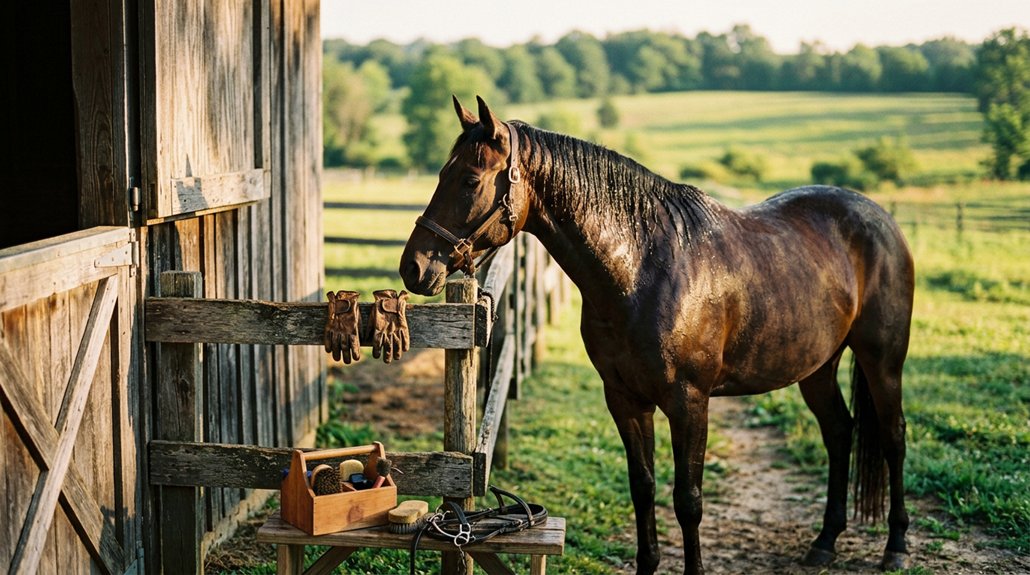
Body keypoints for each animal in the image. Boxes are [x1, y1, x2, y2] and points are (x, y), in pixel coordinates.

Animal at [399, 96, 914, 575]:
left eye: (470, 180)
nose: (414, 268)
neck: (643, 269)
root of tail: (883, 220)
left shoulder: (690, 402)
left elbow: (688, 499)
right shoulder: (625, 399)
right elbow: (643, 487)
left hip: (883, 363)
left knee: (893, 436)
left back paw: (896, 546)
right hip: (818, 368)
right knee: (840, 433)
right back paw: (825, 542)